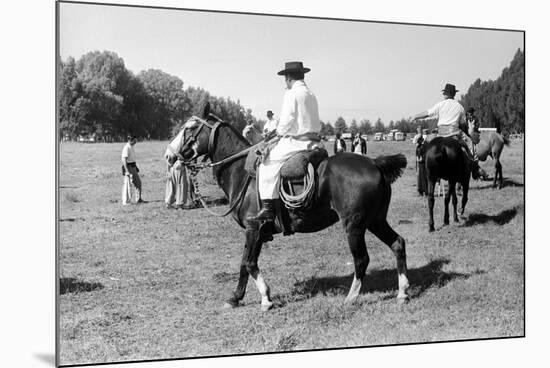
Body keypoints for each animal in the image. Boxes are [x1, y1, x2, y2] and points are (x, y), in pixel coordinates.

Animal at [168, 105, 410, 312]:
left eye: (189, 128)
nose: (169, 155)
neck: (241, 173)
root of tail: (375, 163)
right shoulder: (253, 232)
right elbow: (244, 263)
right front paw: (235, 297)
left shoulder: (254, 228)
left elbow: (249, 263)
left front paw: (266, 298)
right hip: (376, 220)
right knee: (397, 243)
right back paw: (402, 292)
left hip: (355, 225)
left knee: (361, 260)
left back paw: (351, 297)